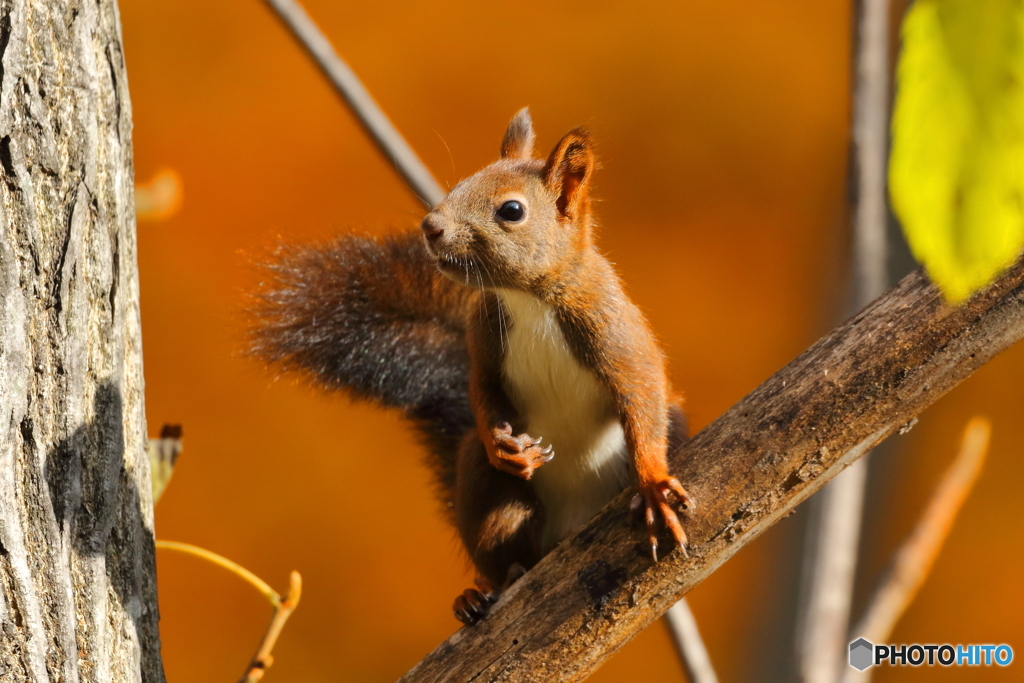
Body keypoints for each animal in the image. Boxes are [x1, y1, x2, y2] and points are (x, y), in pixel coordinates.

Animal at [250, 107, 692, 626]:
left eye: (512, 210)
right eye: (462, 181)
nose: (430, 226)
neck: (528, 300)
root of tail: (567, 530)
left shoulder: (613, 332)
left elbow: (641, 396)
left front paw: (654, 487)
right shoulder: (482, 338)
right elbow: (480, 389)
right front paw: (503, 445)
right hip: (486, 490)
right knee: (505, 549)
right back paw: (480, 592)